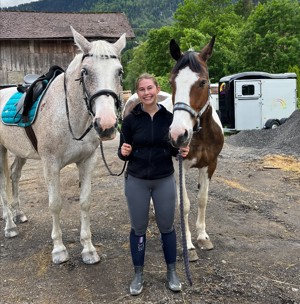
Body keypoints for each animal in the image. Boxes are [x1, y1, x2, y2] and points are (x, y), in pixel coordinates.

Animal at [0, 26, 125, 264]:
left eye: (119, 72)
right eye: (85, 72)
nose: (106, 125)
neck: (70, 116)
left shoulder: (88, 161)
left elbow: (85, 201)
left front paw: (88, 250)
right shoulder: (50, 164)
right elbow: (55, 204)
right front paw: (58, 249)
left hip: (20, 152)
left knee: (14, 175)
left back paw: (17, 214)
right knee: (3, 183)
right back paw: (10, 226)